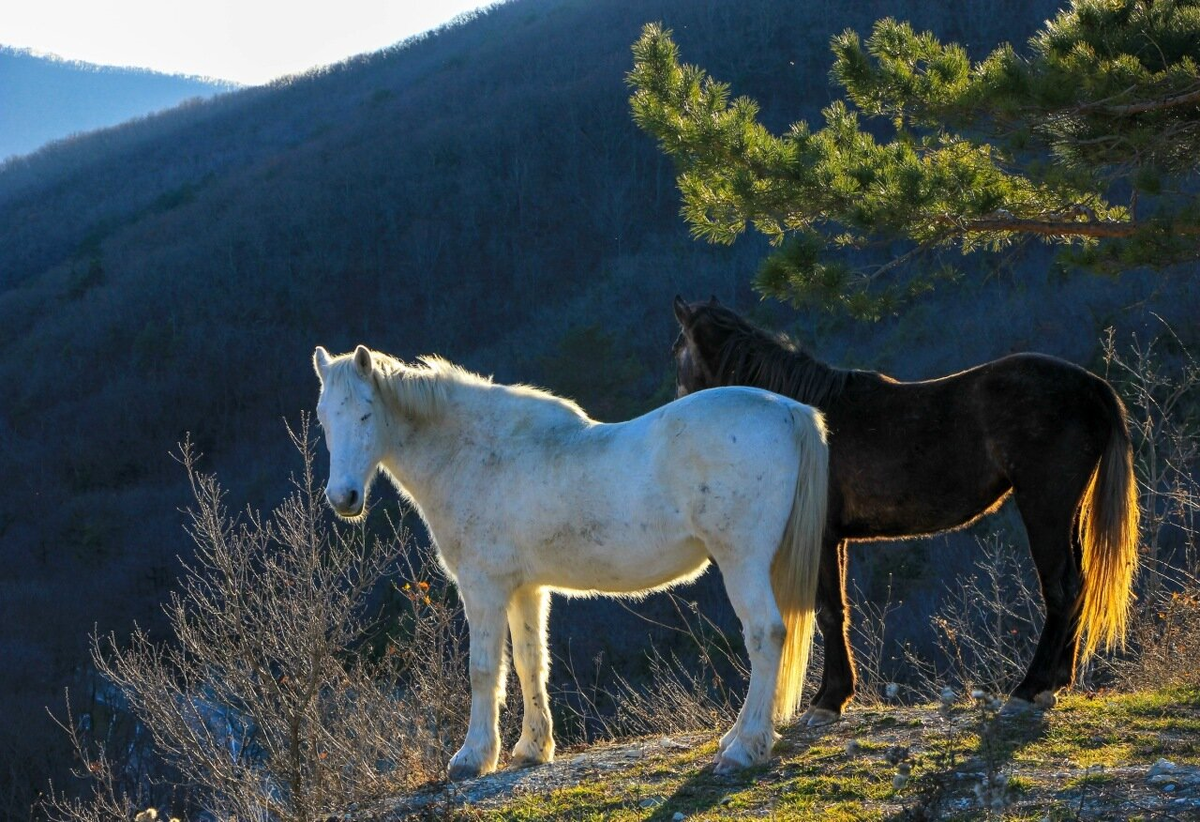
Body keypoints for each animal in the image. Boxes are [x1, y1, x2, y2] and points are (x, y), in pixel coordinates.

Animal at [314, 345, 830, 777]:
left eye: (365, 412)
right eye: (323, 418)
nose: (344, 498)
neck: (477, 453)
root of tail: (789, 410)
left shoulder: (483, 587)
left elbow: (483, 670)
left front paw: (472, 757)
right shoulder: (525, 588)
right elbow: (530, 662)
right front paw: (532, 749)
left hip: (742, 561)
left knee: (766, 635)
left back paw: (744, 748)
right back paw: (737, 737)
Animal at [672, 297, 1137, 720]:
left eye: (678, 351)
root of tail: (1092, 386)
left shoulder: (822, 537)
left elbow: (829, 612)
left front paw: (828, 700)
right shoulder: (835, 539)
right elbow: (836, 612)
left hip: (1044, 506)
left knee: (1061, 588)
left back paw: (1030, 687)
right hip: (1065, 511)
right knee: (1077, 585)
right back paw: (1055, 681)